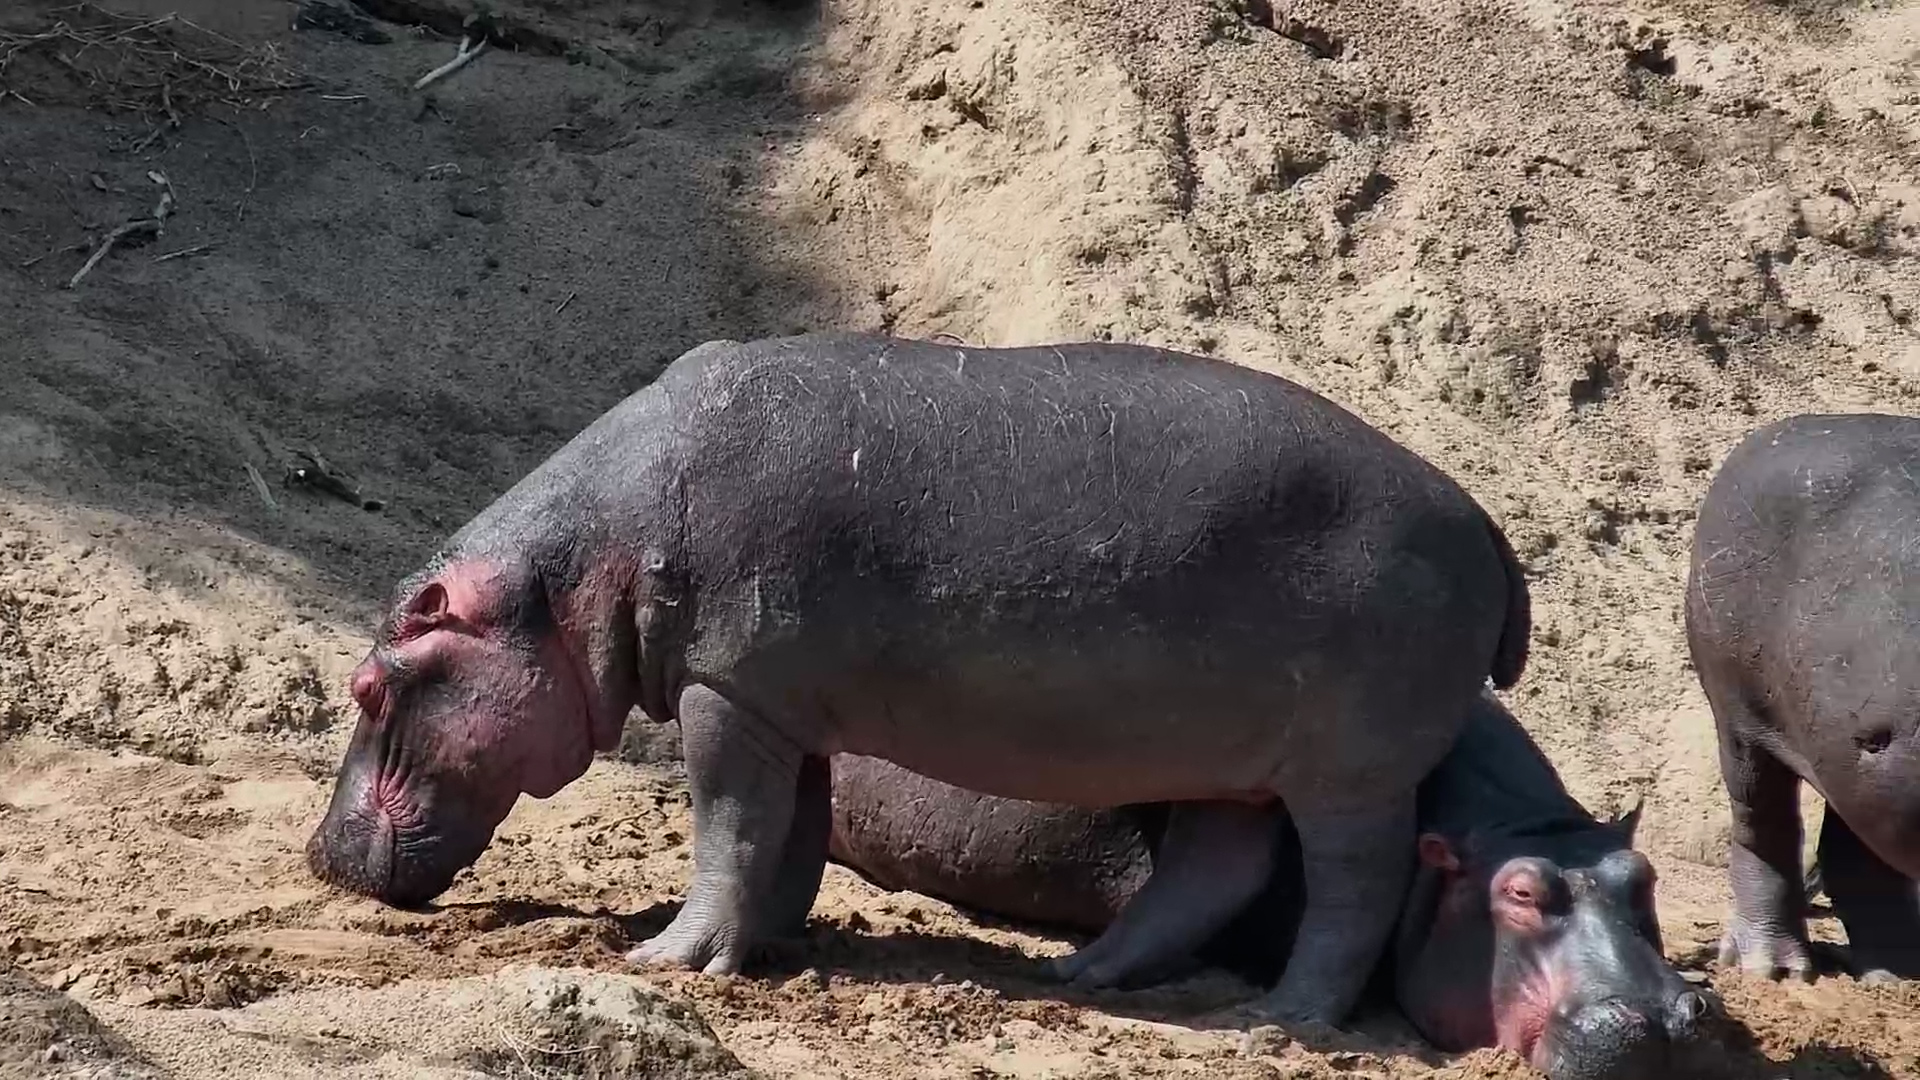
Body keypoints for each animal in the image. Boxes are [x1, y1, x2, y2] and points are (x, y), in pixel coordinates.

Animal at [306, 331, 1530, 1025]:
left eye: (369, 689)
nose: (319, 852)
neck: (573, 575)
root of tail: (1490, 528)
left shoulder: (724, 691)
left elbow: (726, 825)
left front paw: (672, 957)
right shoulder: (779, 702)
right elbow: (784, 838)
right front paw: (770, 948)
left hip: (1352, 770)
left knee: (1352, 887)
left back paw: (1289, 1019)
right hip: (1234, 760)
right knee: (1213, 867)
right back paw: (1084, 980)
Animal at [1687, 412, 1920, 984]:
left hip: (1845, 756)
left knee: (1856, 851)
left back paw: (1896, 975)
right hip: (1738, 712)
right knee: (1762, 825)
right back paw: (1774, 969)